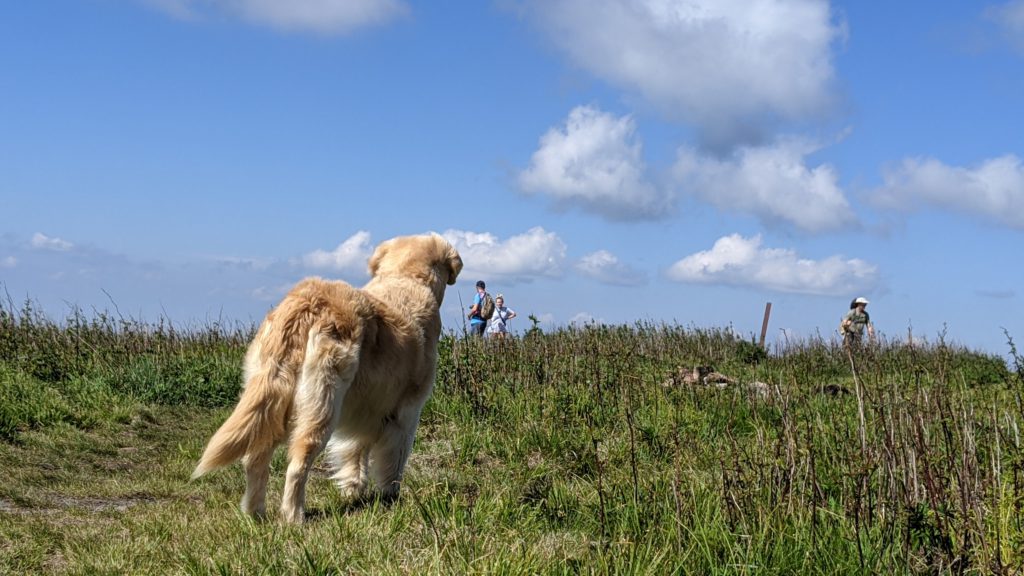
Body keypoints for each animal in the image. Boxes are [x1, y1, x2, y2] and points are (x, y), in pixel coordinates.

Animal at [192, 231, 464, 520]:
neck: (406, 278)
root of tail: (308, 304)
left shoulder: (364, 412)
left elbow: (356, 452)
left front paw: (352, 489)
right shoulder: (406, 412)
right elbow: (394, 459)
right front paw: (390, 495)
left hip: (271, 401)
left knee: (255, 458)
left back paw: (256, 514)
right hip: (322, 405)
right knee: (298, 463)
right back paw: (293, 516)